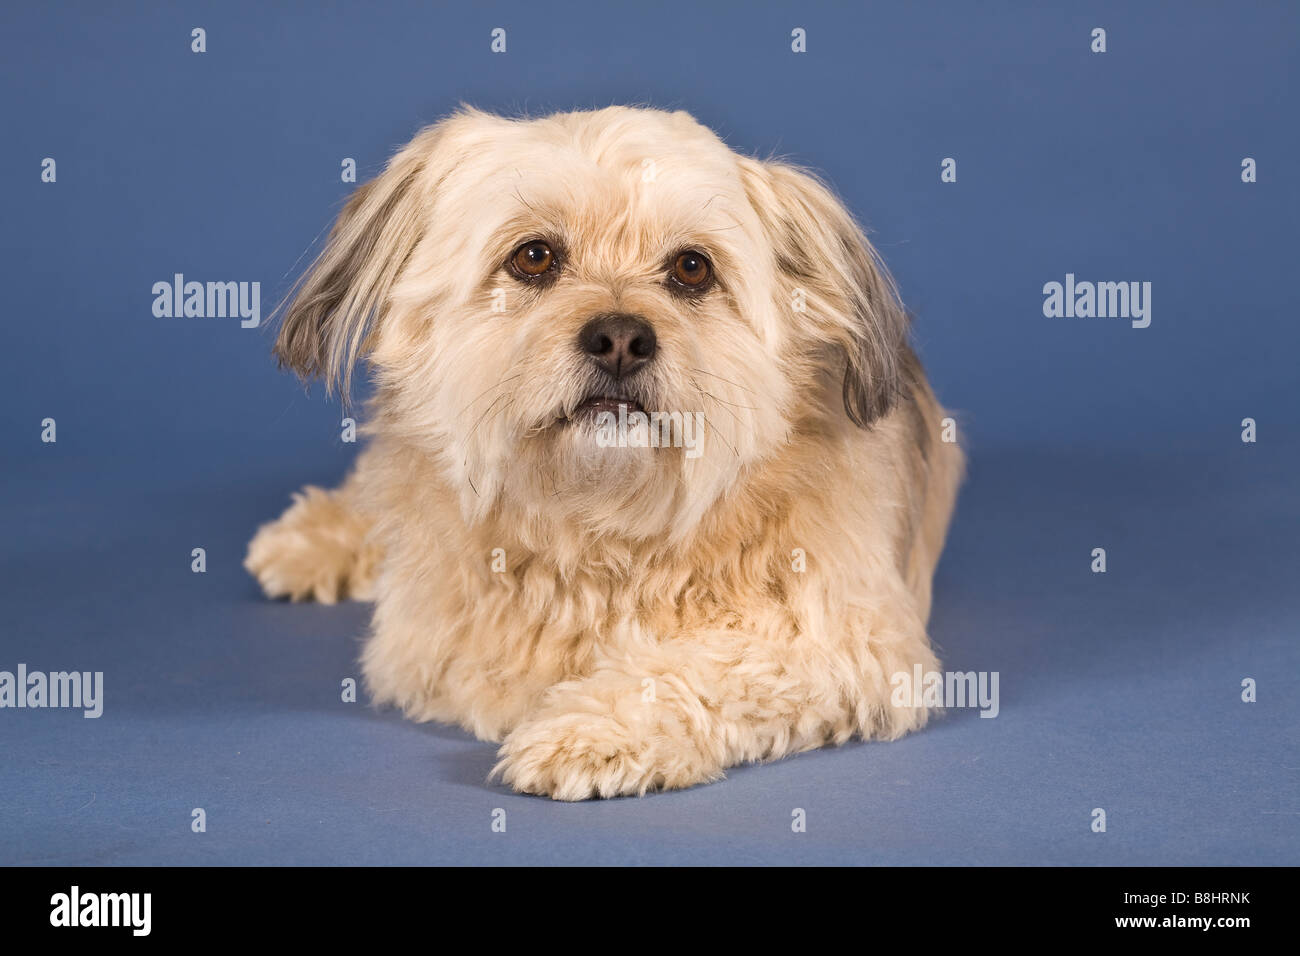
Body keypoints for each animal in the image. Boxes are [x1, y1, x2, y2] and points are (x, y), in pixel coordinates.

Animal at [245, 106, 967, 801]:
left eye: (692, 267)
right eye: (534, 256)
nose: (620, 338)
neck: (607, 527)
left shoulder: (849, 642)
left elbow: (698, 665)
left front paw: (592, 729)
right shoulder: (428, 645)